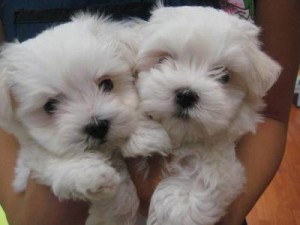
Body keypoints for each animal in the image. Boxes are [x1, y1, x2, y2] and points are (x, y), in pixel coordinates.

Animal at [0, 13, 157, 225]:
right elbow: (50, 156)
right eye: (50, 106)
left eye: (107, 84)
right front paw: (93, 175)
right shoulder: (30, 157)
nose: (97, 126)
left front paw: (145, 134)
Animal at [136, 5, 282, 225]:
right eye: (162, 60)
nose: (186, 95)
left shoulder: (223, 164)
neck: (183, 139)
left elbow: (202, 182)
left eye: (225, 76)